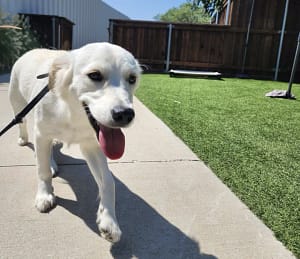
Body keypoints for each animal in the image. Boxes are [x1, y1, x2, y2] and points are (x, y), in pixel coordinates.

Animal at [8, 42, 141, 244]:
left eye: (132, 78)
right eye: (95, 75)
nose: (125, 114)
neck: (71, 113)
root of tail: (33, 49)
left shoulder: (92, 145)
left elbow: (108, 181)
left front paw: (109, 220)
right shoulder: (41, 134)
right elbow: (42, 171)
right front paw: (44, 195)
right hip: (17, 102)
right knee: (21, 122)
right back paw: (24, 139)